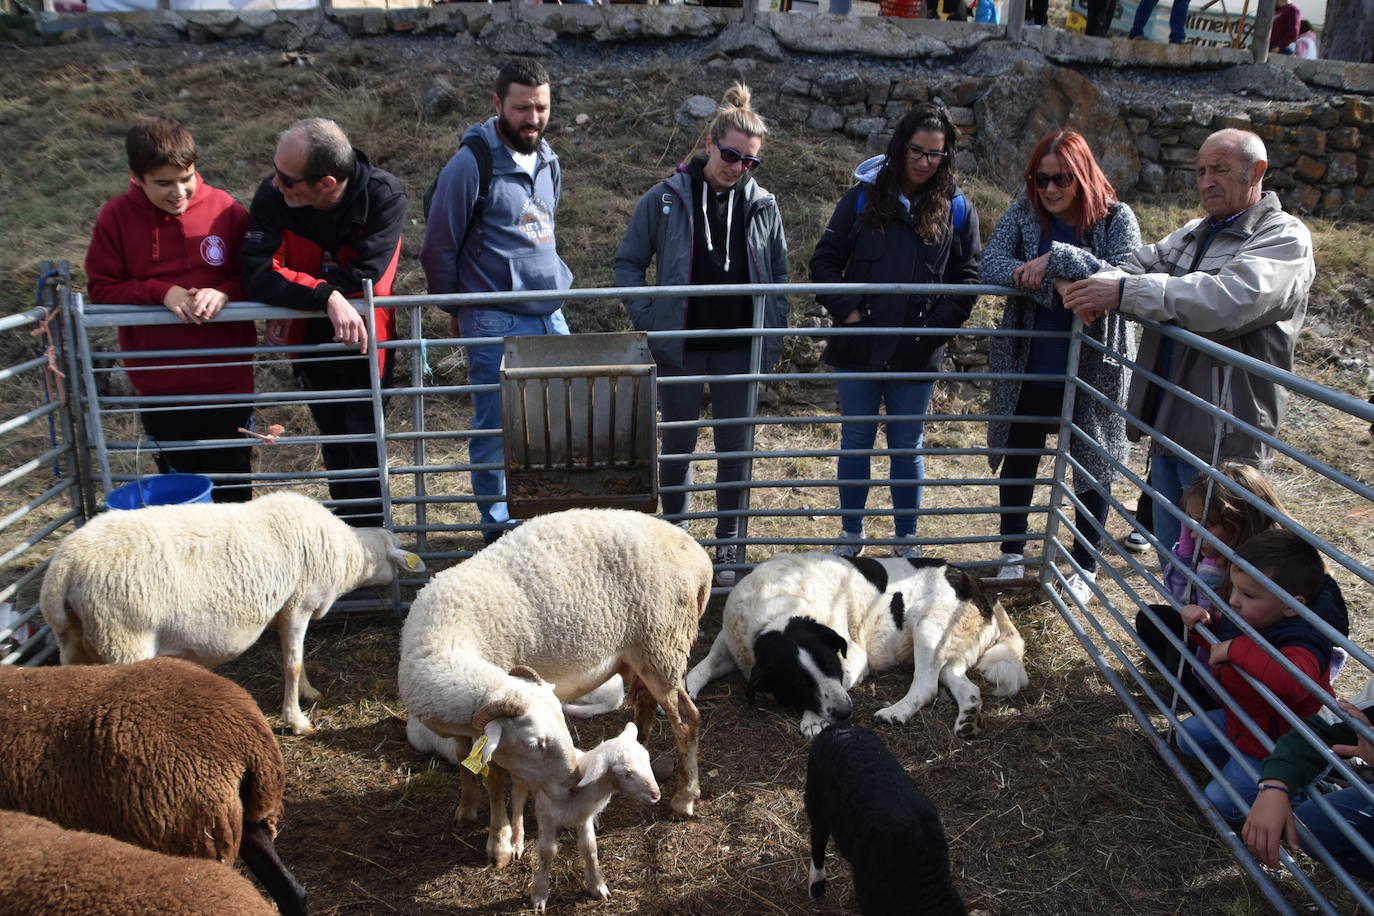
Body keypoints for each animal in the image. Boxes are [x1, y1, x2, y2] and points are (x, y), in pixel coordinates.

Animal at [41, 491, 423, 736]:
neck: (347, 552)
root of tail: (65, 564)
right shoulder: (298, 603)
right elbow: (292, 662)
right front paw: (297, 721)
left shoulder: (284, 611)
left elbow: (297, 656)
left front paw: (308, 692)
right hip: (124, 637)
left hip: (75, 638)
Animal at [398, 513, 714, 873]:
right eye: (534, 743)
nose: (574, 778)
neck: (443, 635)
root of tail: (699, 557)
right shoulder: (464, 725)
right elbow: (466, 762)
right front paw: (466, 809)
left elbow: (495, 781)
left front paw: (499, 843)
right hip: (643, 652)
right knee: (646, 703)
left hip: (663, 643)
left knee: (686, 721)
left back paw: (684, 799)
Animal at [681, 552, 1027, 736]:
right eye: (798, 682)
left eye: (830, 665)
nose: (846, 713)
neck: (776, 611)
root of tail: (977, 583)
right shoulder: (731, 642)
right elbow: (700, 668)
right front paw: (685, 691)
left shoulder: (855, 659)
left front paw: (812, 720)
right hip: (949, 650)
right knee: (965, 686)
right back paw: (967, 719)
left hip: (928, 628)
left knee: (927, 685)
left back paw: (897, 711)